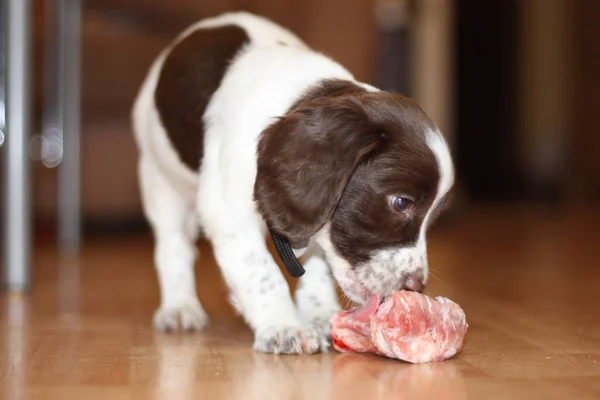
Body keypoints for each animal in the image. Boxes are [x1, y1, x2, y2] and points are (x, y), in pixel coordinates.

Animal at [130, 9, 450, 354]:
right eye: (401, 203)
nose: (416, 287)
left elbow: (318, 267)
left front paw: (319, 316)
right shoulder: (229, 217)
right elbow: (261, 273)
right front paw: (283, 326)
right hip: (160, 178)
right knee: (173, 244)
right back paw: (179, 306)